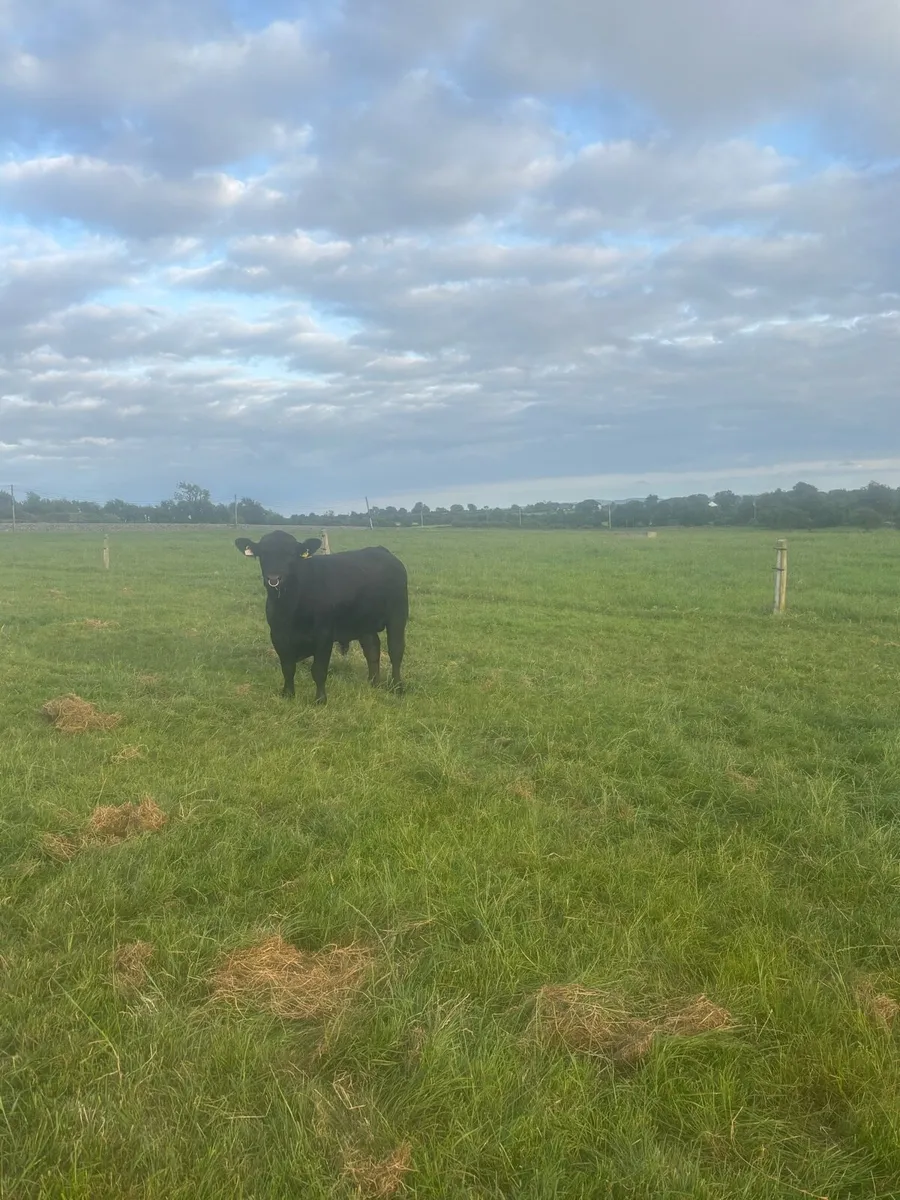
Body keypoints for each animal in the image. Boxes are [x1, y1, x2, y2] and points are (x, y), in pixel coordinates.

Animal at [235, 530, 408, 705]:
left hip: (398, 616)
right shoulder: (278, 636)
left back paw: (397, 687)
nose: (274, 578)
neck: (291, 606)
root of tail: (381, 551)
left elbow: (318, 670)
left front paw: (320, 700)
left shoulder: (324, 636)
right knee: (372, 649)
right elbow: (287, 667)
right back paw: (373, 683)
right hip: (364, 622)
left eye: (291, 554)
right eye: (263, 554)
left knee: (396, 650)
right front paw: (288, 694)